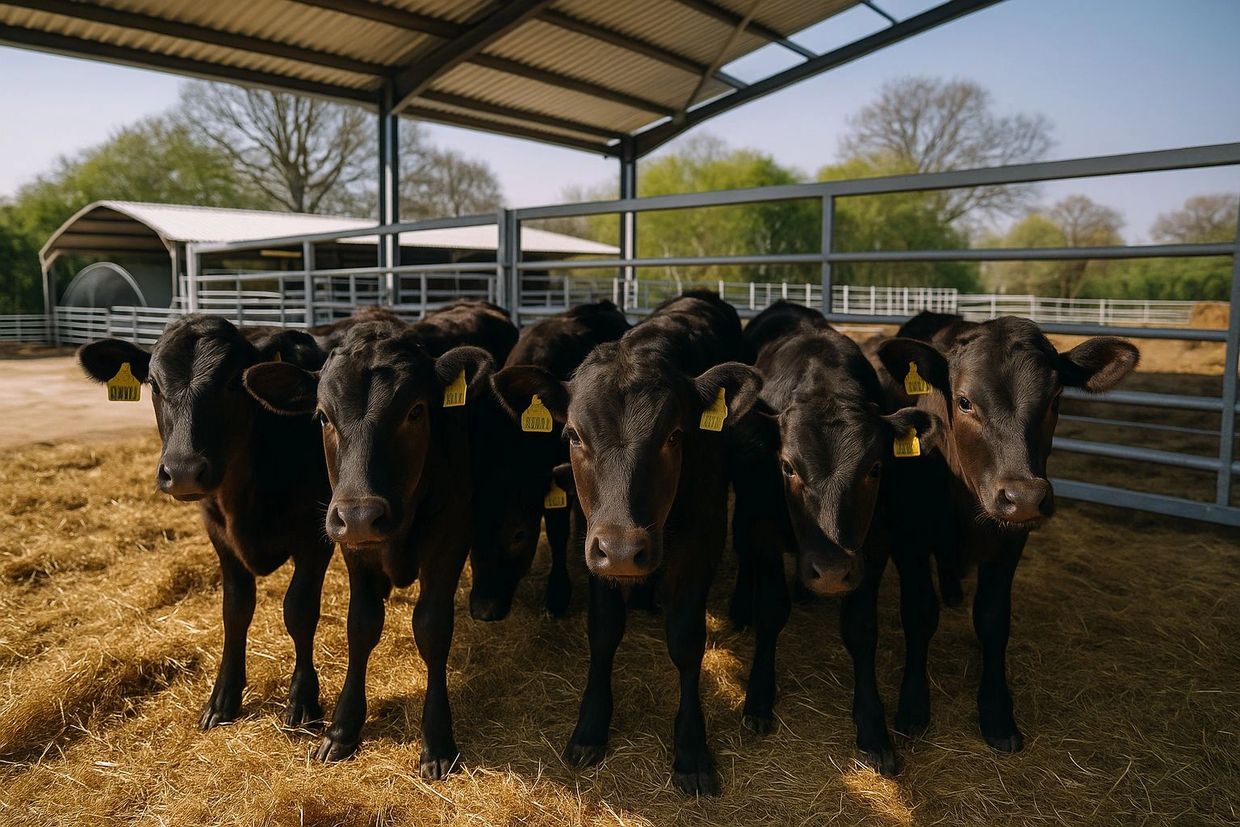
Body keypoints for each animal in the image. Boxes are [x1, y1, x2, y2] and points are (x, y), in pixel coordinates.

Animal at [77, 316, 332, 731]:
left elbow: (299, 611)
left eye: (232, 383)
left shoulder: (315, 535)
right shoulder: (220, 536)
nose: (182, 471)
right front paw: (223, 698)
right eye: (154, 383)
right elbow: (235, 611)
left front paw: (303, 700)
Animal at [244, 311, 496, 779]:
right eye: (323, 417)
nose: (360, 515)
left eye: (415, 411)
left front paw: (437, 740)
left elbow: (432, 629)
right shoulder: (356, 553)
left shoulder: (449, 540)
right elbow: (360, 626)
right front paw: (342, 729)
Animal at [490, 291, 760, 796]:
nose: (622, 550)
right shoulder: (590, 538)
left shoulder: (703, 541)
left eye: (675, 434)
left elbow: (686, 641)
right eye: (573, 435)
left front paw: (691, 748)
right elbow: (603, 632)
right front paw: (590, 727)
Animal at [730, 301, 938, 775]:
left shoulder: (872, 544)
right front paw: (759, 698)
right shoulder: (762, 525)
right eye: (787, 466)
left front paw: (873, 728)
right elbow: (771, 610)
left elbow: (861, 629)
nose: (829, 571)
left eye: (875, 467)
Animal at [874, 312, 1138, 753]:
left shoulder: (1010, 542)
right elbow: (919, 614)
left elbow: (993, 620)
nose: (1025, 497)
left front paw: (997, 712)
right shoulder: (907, 537)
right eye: (964, 401)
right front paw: (913, 704)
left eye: (1054, 400)